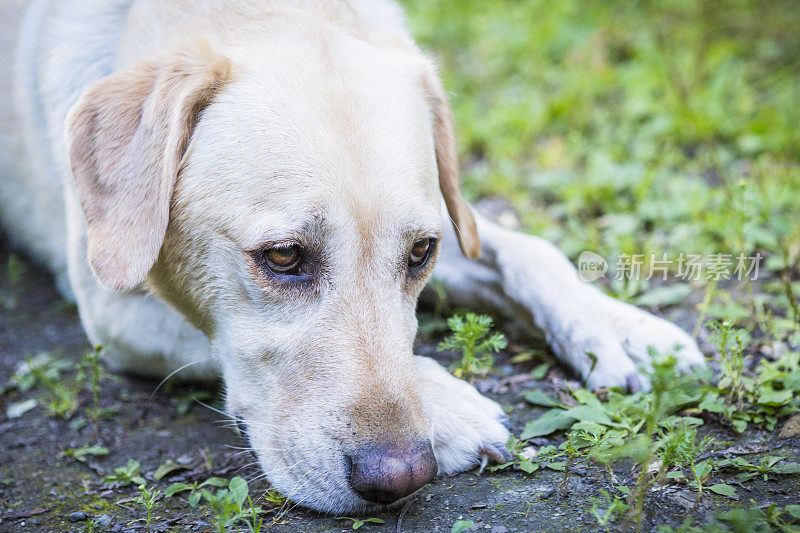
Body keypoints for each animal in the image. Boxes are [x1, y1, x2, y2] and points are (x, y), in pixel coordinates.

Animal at [0, 0, 700, 512]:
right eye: (284, 257)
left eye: (421, 253)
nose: (401, 477)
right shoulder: (110, 303)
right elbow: (218, 343)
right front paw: (448, 406)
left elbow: (531, 251)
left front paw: (618, 326)